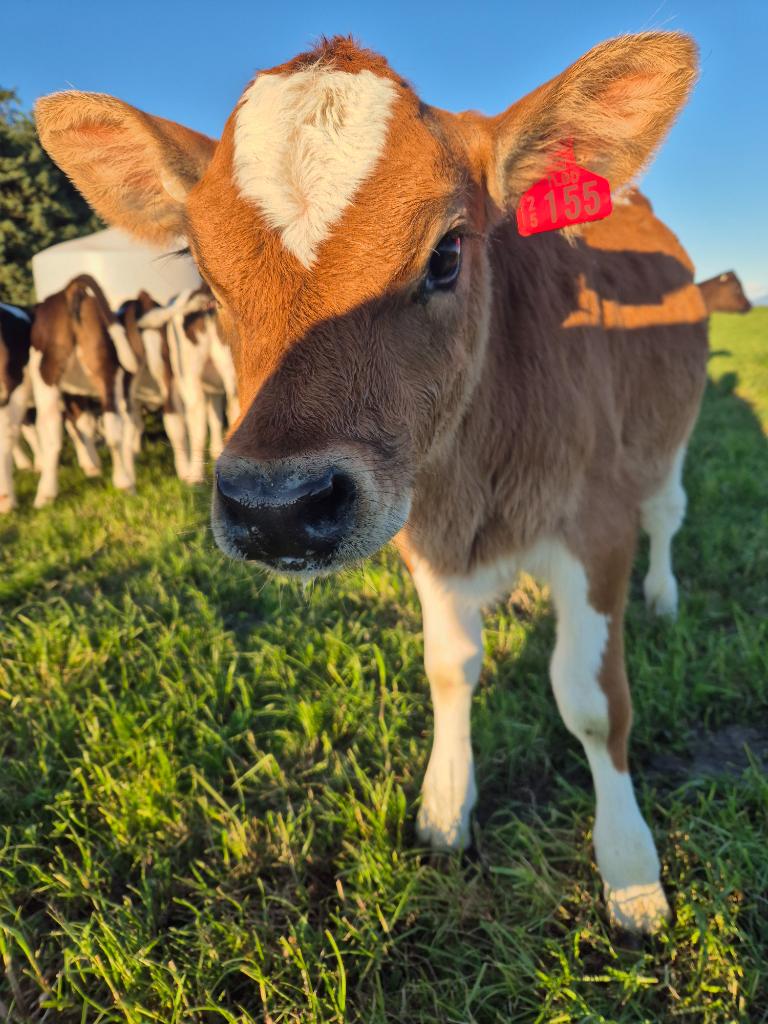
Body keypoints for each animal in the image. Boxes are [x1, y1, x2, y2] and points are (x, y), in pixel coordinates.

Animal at [28, 274, 139, 507]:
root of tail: (70, 290)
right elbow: (87, 424)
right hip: (104, 372)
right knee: (114, 426)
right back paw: (124, 482)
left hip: (47, 379)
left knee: (52, 429)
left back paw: (45, 493)